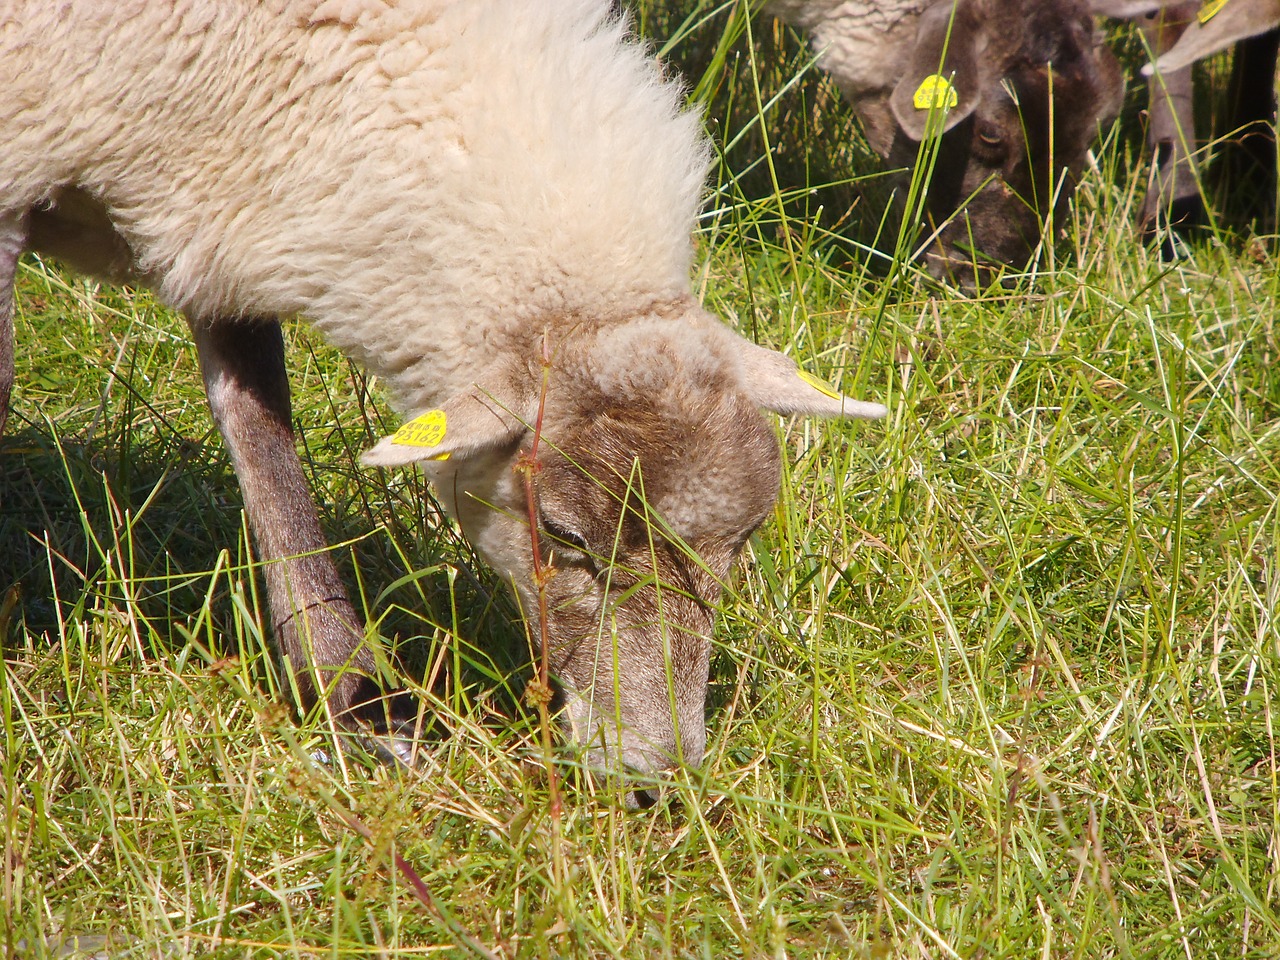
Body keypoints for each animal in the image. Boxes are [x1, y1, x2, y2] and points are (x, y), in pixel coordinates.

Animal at [0, 0, 890, 803]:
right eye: (563, 533)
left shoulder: (225, 194)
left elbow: (259, 421)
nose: (655, 776)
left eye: (743, 539)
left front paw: (346, 691)